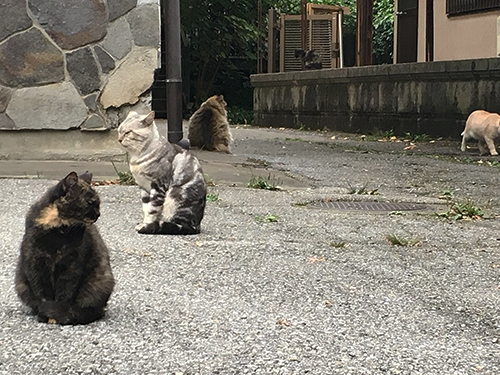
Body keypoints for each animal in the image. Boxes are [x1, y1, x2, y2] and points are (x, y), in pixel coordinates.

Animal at [15, 172, 114, 324]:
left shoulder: (72, 266)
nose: (98, 214)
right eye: (91, 202)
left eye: (98, 203)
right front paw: (45, 316)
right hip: (21, 283)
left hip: (100, 283)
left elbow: (65, 293)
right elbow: (42, 292)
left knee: (91, 311)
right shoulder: (35, 263)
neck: (57, 229)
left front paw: (55, 315)